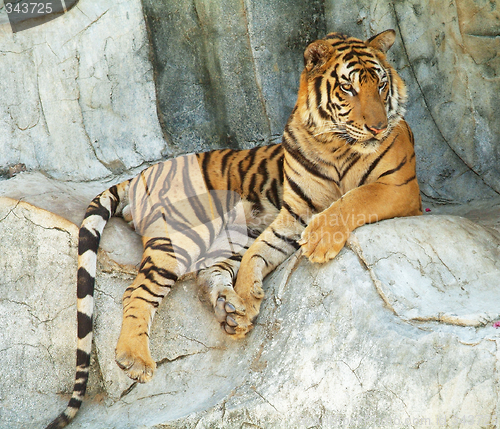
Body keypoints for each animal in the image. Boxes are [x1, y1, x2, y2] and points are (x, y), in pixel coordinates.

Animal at [47, 28, 422, 426]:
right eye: (349, 88)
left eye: (381, 85)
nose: (378, 127)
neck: (335, 145)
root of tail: (141, 175)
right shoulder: (299, 211)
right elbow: (328, 213)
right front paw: (255, 288)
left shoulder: (397, 187)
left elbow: (351, 200)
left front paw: (259, 285)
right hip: (182, 234)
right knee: (139, 289)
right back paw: (137, 358)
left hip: (230, 234)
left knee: (206, 272)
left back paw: (231, 312)